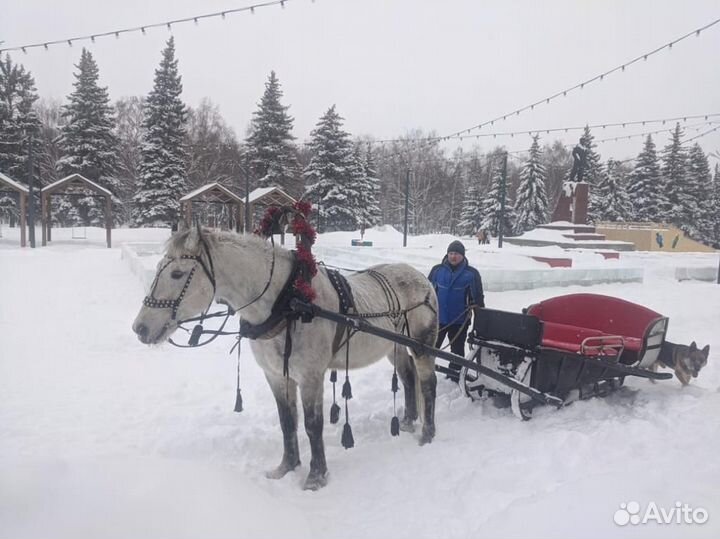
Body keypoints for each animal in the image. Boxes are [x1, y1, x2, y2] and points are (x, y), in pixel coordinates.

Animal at [134, 226, 438, 492]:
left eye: (177, 273)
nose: (140, 328)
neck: (289, 303)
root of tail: (422, 278)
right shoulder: (276, 375)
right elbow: (287, 421)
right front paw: (287, 467)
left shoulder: (311, 376)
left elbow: (312, 425)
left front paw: (316, 477)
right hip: (394, 347)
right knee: (408, 378)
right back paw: (408, 421)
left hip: (422, 347)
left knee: (428, 384)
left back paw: (427, 433)